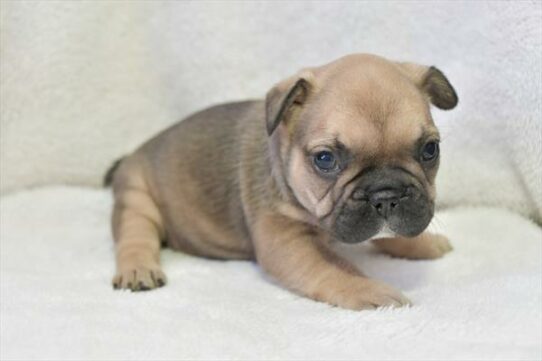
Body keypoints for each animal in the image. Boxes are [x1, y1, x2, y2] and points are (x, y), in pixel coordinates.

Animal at [105, 53, 460, 310]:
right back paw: (138, 269)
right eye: (325, 159)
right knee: (136, 235)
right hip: (136, 197)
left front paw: (423, 243)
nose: (386, 195)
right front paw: (370, 290)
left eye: (430, 150)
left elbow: (394, 234)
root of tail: (133, 154)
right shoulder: (286, 238)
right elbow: (333, 268)